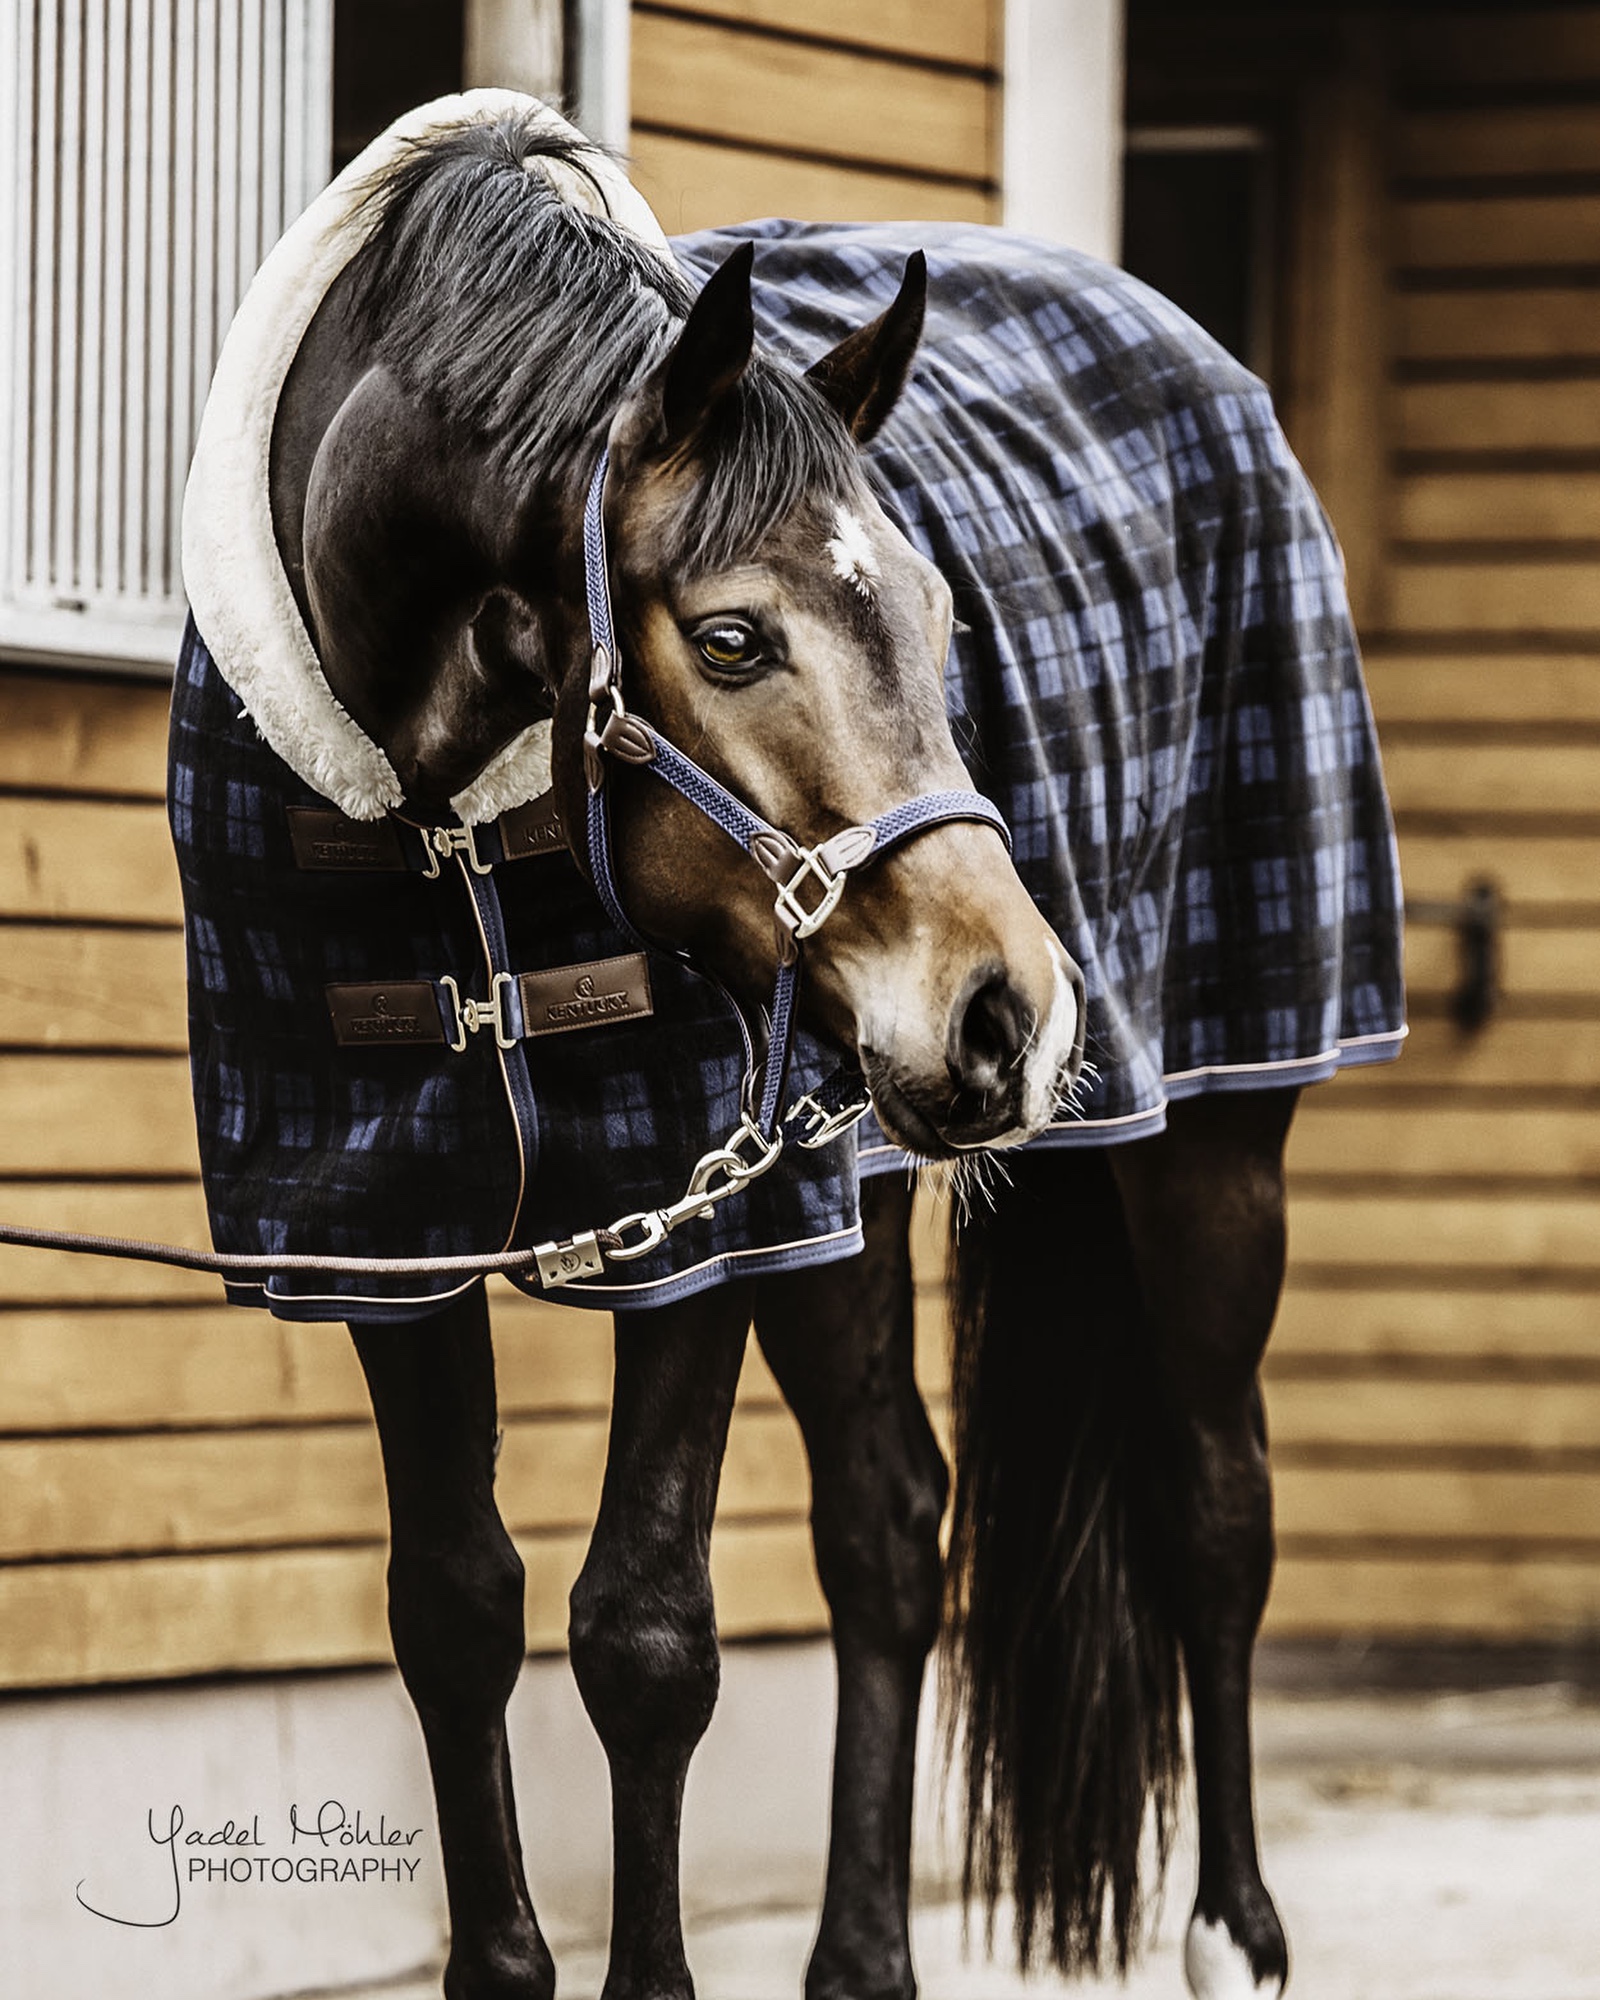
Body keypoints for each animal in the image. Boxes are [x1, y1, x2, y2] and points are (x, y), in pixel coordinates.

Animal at [175, 90, 1400, 2000]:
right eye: (735, 636)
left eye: (944, 620)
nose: (1014, 1008)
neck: (447, 826)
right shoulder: (381, 1241)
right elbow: (455, 1611)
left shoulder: (710, 1227)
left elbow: (643, 1636)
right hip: (861, 1183)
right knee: (890, 1526)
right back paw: (862, 1961)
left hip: (1209, 1149)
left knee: (1218, 1506)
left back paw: (1234, 1932)